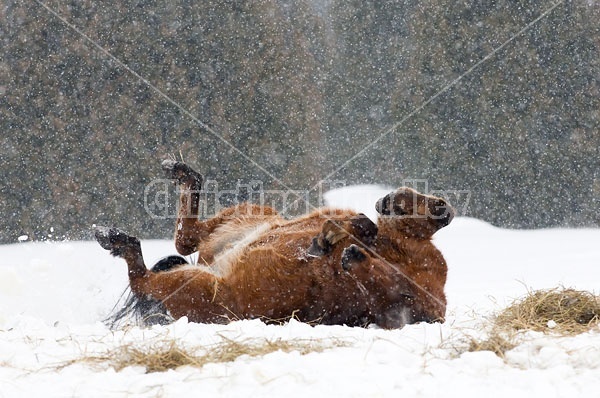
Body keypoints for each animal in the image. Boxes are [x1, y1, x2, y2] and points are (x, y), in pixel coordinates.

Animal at [96, 160, 452, 328]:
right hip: (251, 216)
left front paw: (327, 240)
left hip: (197, 285)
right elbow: (360, 222)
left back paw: (113, 238)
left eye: (405, 296)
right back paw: (179, 171)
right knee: (186, 240)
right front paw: (328, 237)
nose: (442, 208)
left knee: (146, 274)